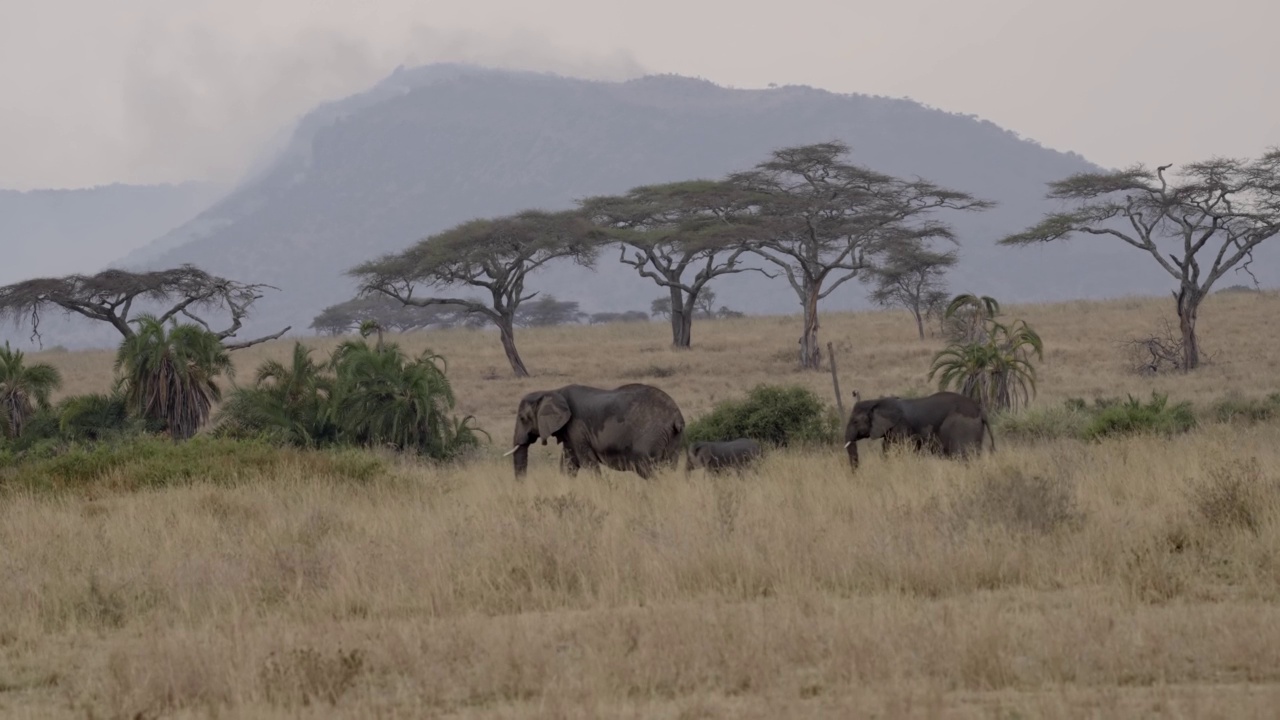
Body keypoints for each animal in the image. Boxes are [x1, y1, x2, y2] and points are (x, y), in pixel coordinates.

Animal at [501, 379, 691, 479]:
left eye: (523, 418)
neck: (552, 391)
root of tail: (676, 417)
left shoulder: (576, 427)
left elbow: (587, 461)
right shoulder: (570, 432)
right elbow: (569, 464)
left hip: (650, 436)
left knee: (647, 467)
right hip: (673, 437)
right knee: (669, 465)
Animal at [844, 389, 993, 468]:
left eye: (855, 421)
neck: (875, 402)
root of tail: (981, 410)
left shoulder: (900, 427)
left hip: (962, 427)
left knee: (961, 455)